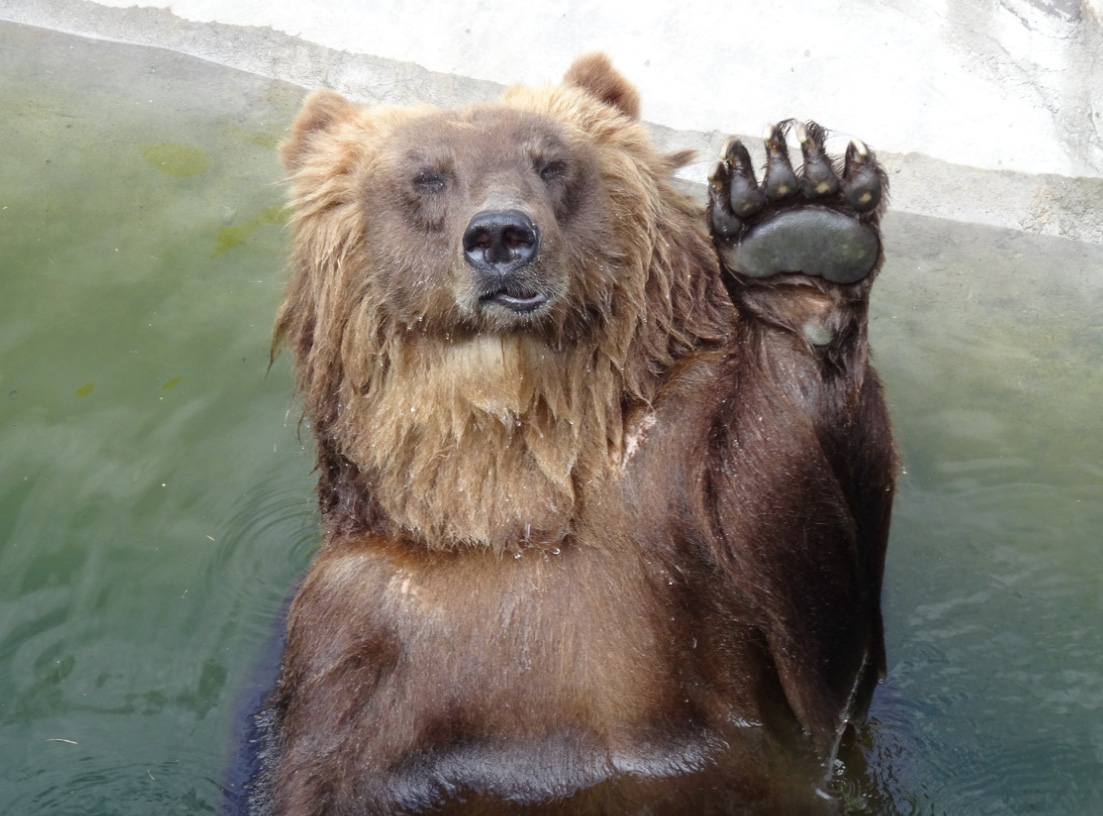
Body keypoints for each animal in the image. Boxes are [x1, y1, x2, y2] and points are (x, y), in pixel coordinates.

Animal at [241, 54, 895, 811]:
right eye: (427, 175)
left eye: (551, 162)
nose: (501, 235)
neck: (514, 504)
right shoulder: (356, 631)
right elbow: (323, 765)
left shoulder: (672, 496)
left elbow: (819, 635)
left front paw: (800, 230)